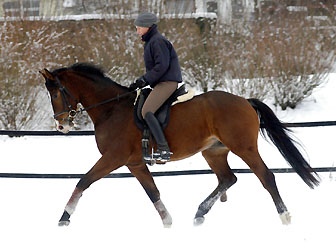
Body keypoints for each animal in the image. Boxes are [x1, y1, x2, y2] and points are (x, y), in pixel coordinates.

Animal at [40, 62, 320, 227]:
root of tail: (245, 101)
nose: (61, 126)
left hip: (244, 148)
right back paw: (199, 213)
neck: (111, 109)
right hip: (213, 152)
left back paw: (285, 216)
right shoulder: (135, 163)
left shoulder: (113, 157)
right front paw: (168, 222)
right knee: (227, 178)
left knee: (266, 177)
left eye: (55, 93)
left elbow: (83, 181)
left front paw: (64, 218)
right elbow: (153, 192)